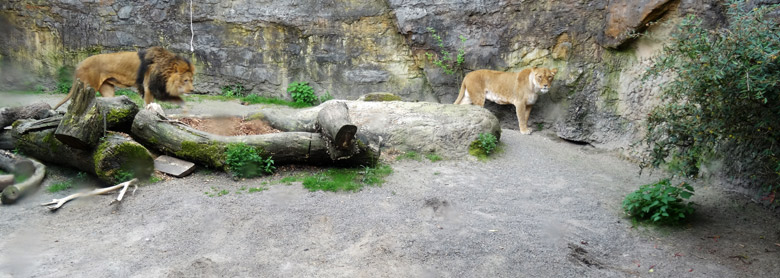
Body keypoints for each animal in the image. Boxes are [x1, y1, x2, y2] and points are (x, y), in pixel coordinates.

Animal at [53, 47, 195, 109]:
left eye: (192, 80)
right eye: (185, 80)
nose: (192, 90)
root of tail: (79, 64)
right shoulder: (148, 88)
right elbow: (148, 105)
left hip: (108, 90)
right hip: (88, 86)